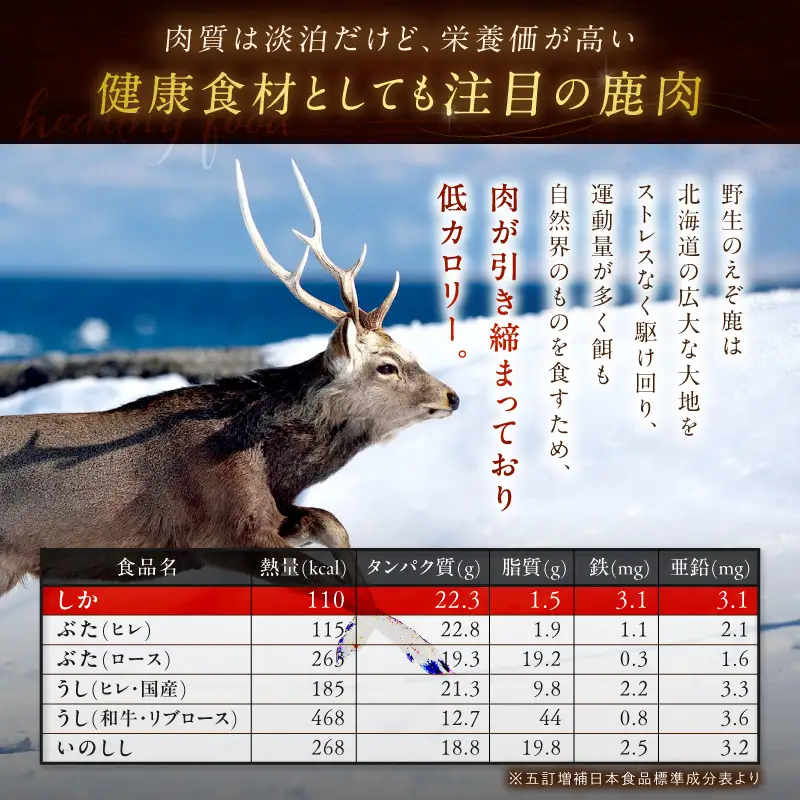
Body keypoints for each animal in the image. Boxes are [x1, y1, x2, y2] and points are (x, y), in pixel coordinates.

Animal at [0, 159, 460, 606]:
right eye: (387, 366)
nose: (451, 396)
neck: (271, 465)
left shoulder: (274, 511)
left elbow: (332, 524)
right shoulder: (227, 527)